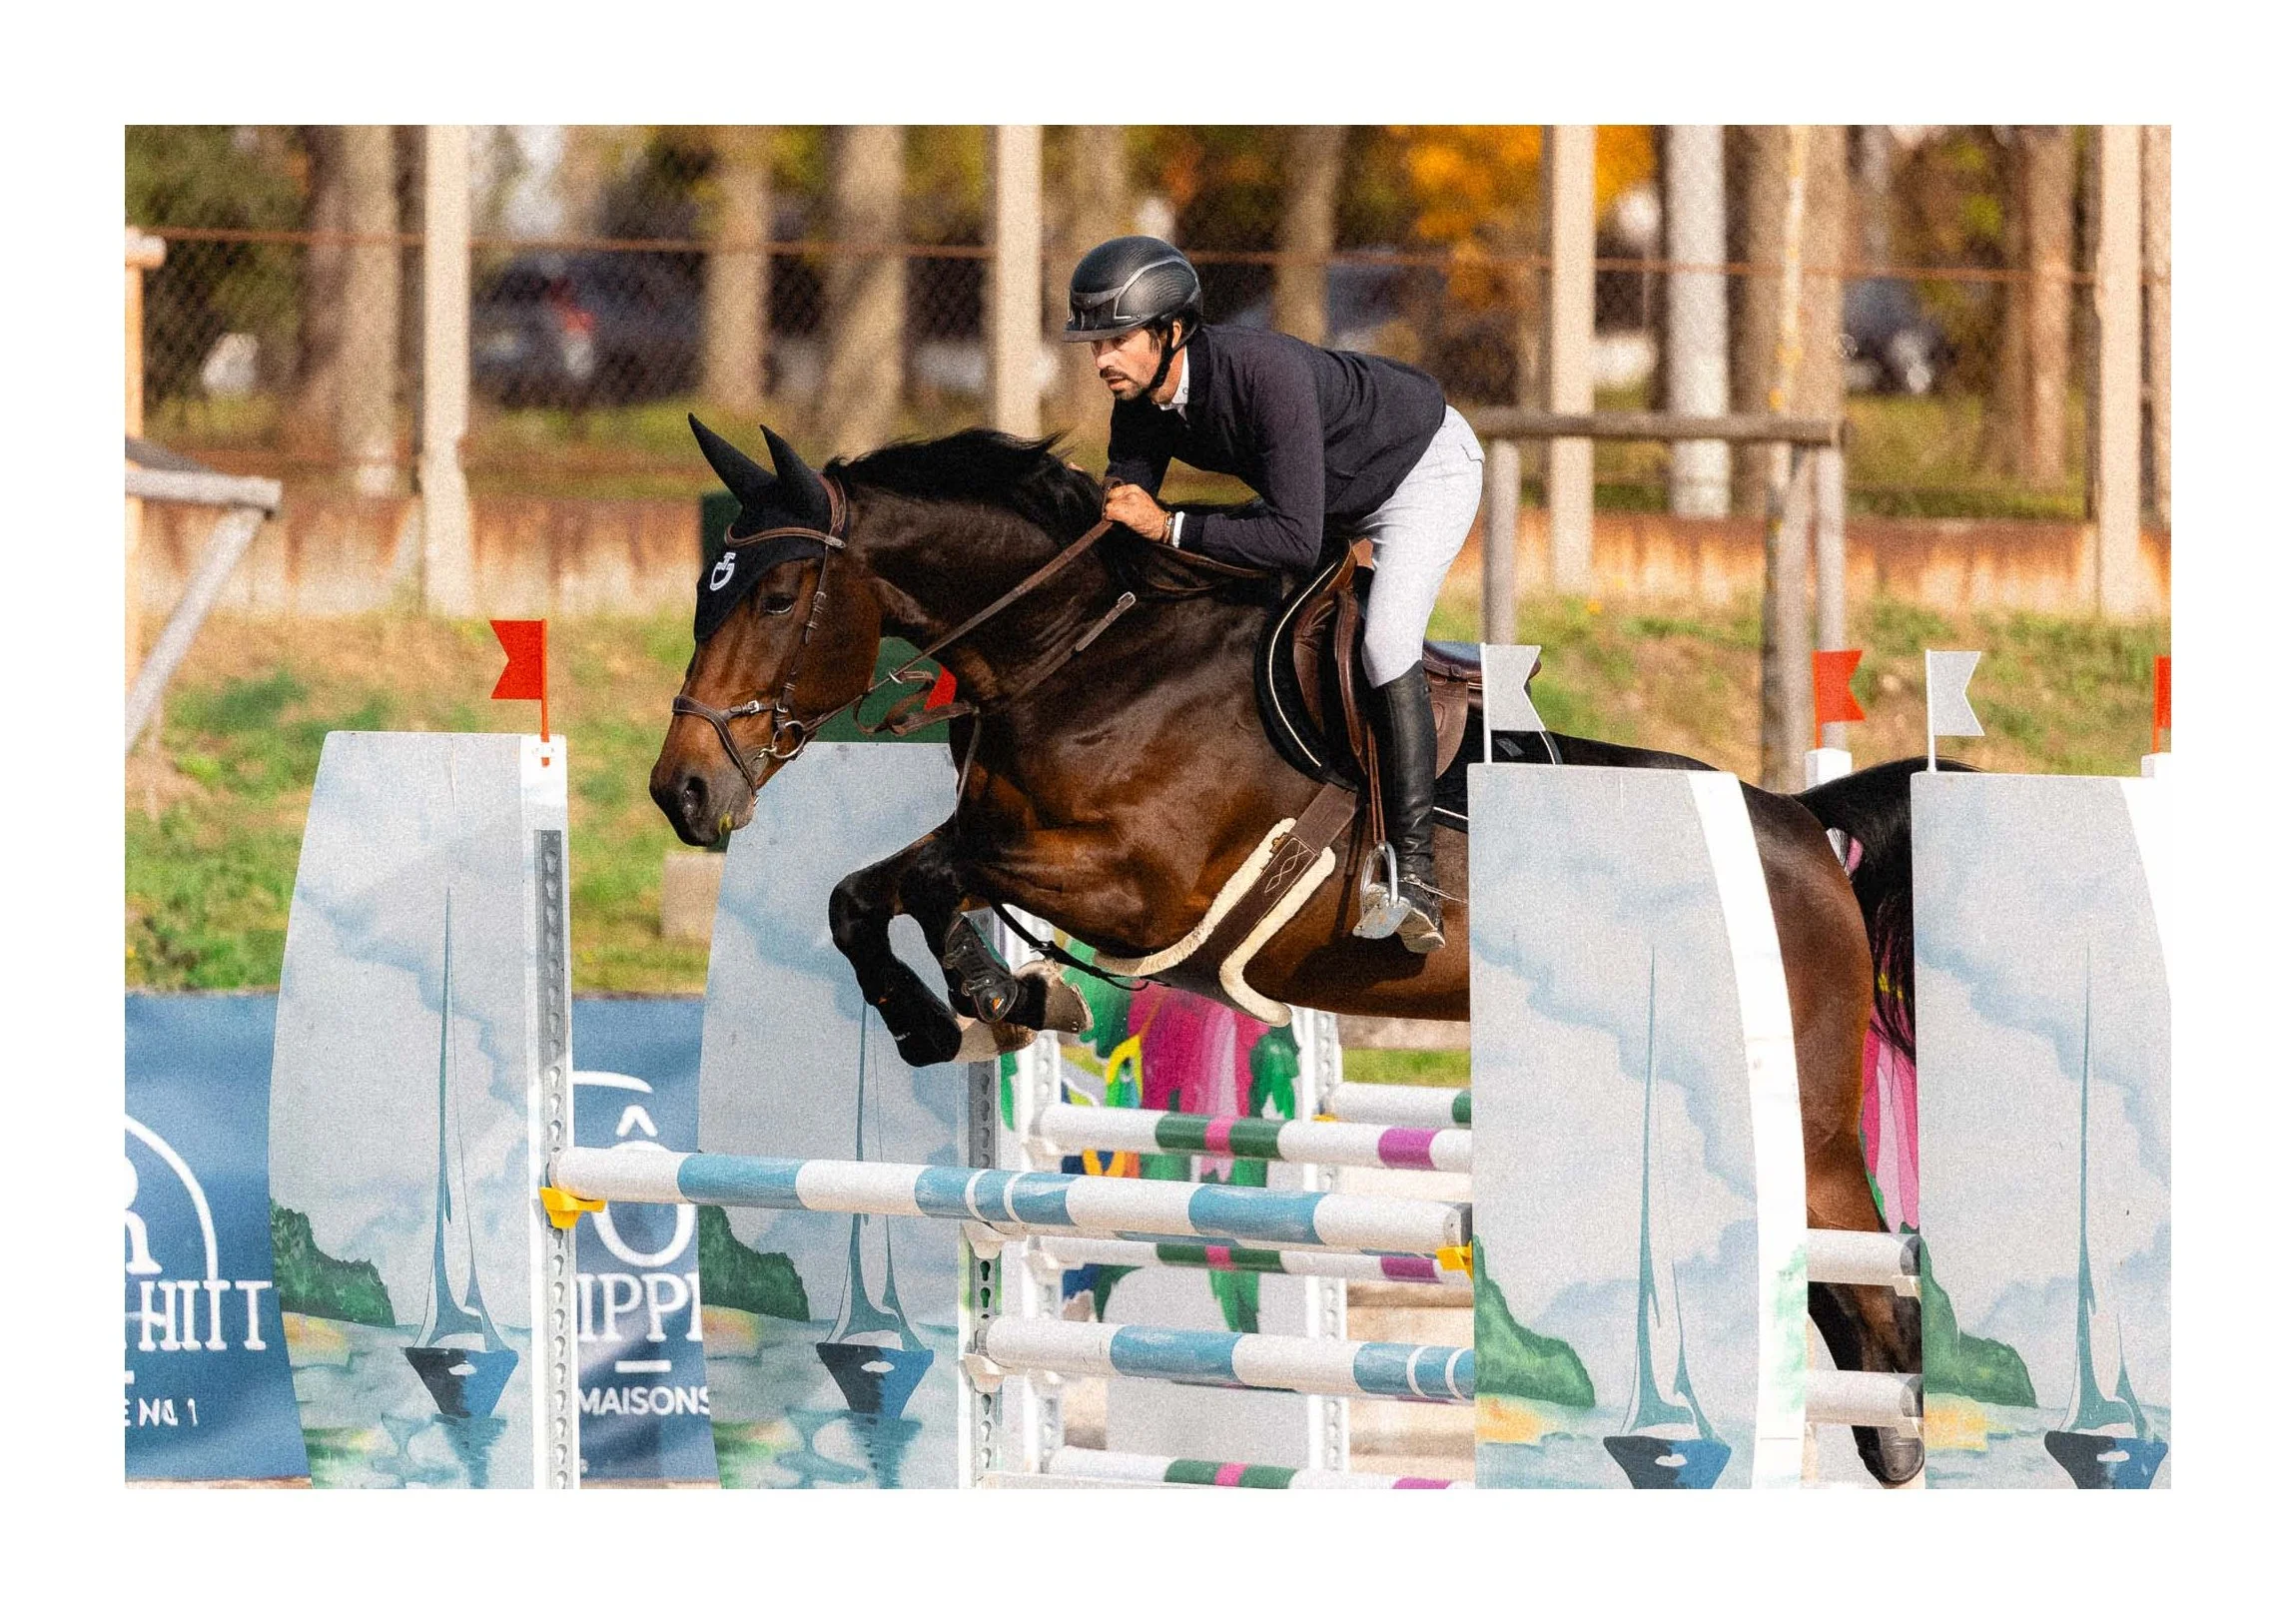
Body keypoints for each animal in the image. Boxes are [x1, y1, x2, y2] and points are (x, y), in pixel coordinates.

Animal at [651, 417, 1930, 1485]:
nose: (683, 790)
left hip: (1806, 1122)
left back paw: (1901, 1448)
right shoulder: (1017, 841)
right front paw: (957, 1010)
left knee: (1874, 1295)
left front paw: (992, 991)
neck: (1081, 652)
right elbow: (864, 892)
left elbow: (928, 876)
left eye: (776, 594)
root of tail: (1802, 826)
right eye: (709, 592)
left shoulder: (1139, 885)